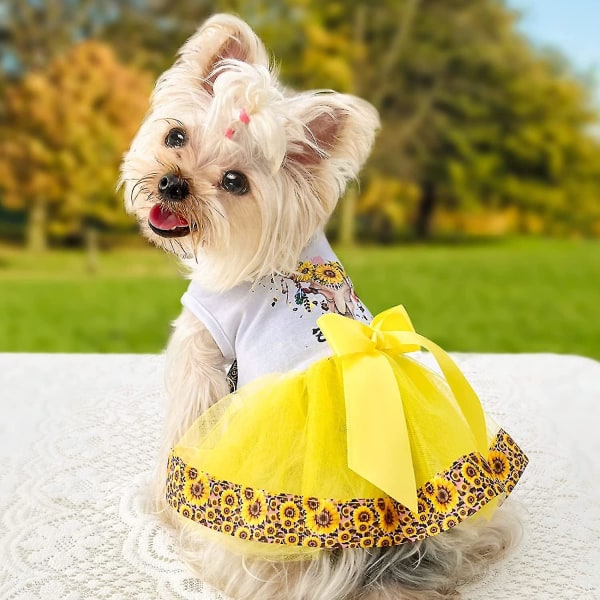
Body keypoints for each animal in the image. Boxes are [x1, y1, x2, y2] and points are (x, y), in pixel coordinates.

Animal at [120, 15, 524, 600]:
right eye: (176, 136)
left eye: (235, 183)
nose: (173, 183)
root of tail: (382, 560)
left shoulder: (202, 356)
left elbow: (183, 427)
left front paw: (160, 498)